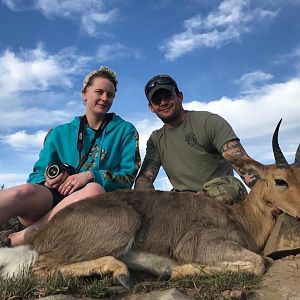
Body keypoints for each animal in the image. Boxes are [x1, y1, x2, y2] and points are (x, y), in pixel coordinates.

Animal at [0, 120, 300, 288]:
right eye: (280, 180)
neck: (242, 218)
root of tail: (42, 234)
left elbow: (262, 260)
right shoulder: (197, 244)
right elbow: (260, 262)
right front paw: (174, 271)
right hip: (122, 225)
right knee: (36, 269)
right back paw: (121, 274)